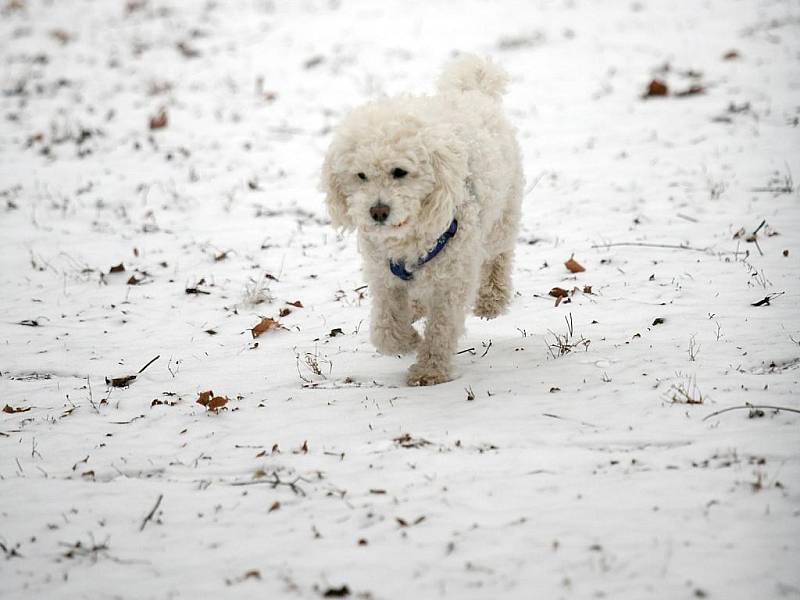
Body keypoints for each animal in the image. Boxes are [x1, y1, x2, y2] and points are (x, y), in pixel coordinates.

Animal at [322, 55, 520, 384]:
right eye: (360, 175)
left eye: (400, 172)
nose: (378, 212)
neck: (408, 237)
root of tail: (472, 92)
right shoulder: (383, 276)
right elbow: (384, 329)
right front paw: (408, 340)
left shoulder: (452, 280)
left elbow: (441, 329)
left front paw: (430, 370)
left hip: (501, 218)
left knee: (499, 256)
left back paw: (491, 299)